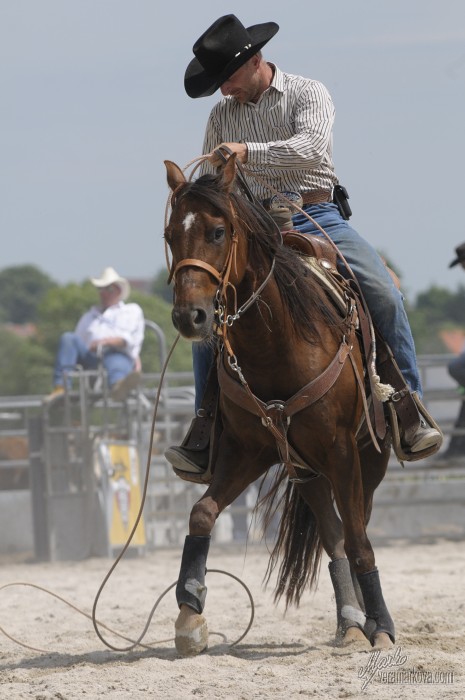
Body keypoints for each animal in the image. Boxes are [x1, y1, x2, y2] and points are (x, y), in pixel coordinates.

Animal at [165, 157, 394, 656]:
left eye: (217, 231)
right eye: (170, 235)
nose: (190, 317)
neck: (275, 343)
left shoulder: (342, 450)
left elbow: (361, 541)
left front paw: (384, 630)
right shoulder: (249, 450)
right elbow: (202, 513)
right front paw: (189, 615)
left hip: (368, 457)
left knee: (356, 528)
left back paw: (368, 622)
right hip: (306, 469)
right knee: (332, 536)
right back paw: (349, 624)